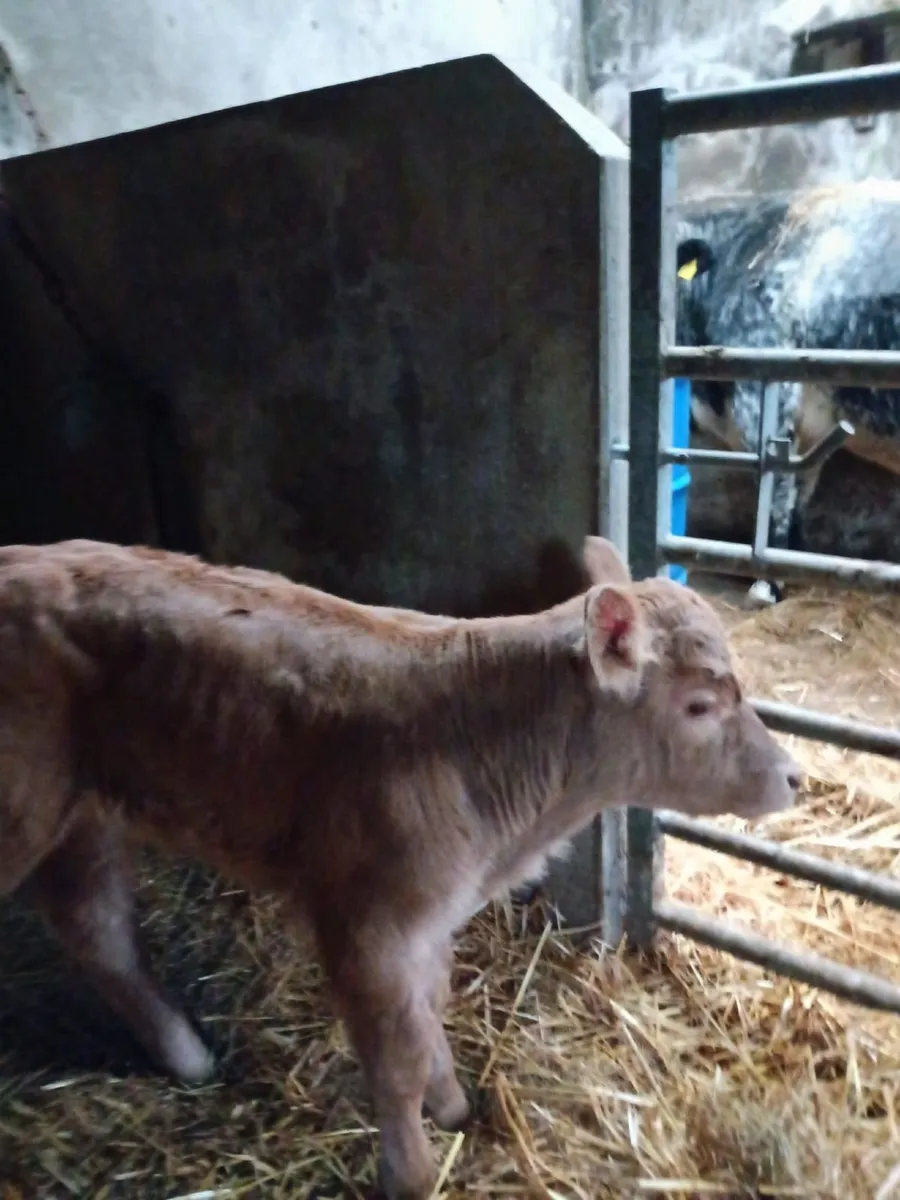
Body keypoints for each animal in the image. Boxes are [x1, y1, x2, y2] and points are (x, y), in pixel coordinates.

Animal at [0, 537, 800, 1199]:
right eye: (699, 704)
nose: (794, 777)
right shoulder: (366, 920)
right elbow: (395, 1055)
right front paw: (411, 1174)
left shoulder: (433, 914)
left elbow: (429, 1012)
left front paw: (453, 1106)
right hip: (26, 807)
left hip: (84, 815)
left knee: (98, 931)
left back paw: (188, 1058)